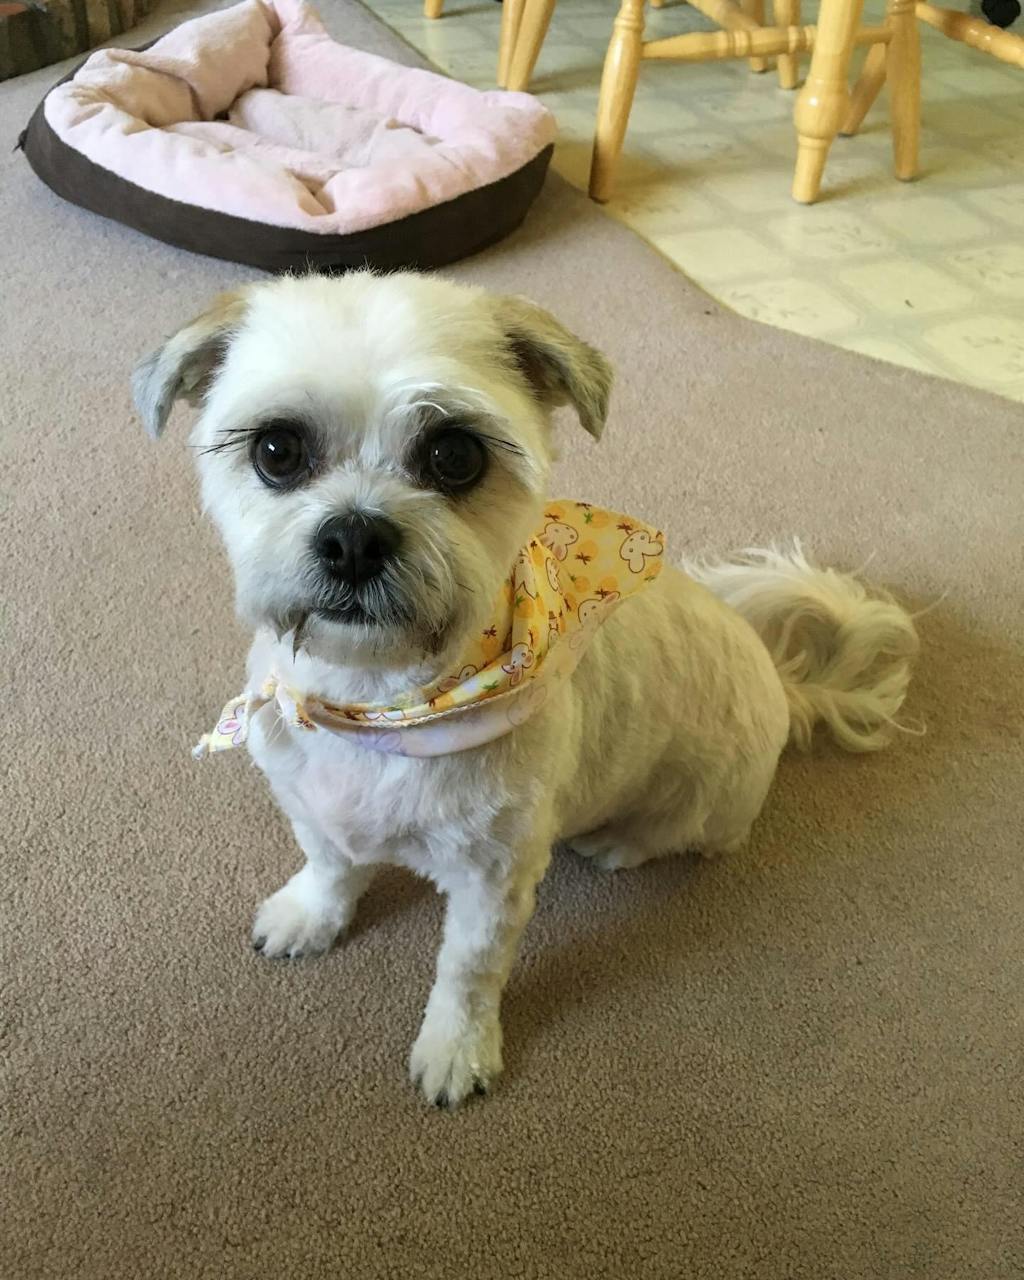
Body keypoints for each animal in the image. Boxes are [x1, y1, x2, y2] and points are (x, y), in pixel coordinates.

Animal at [134, 272, 918, 1108]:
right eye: (277, 450)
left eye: (454, 454)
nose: (354, 538)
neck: (377, 704)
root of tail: (779, 678)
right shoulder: (310, 801)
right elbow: (331, 863)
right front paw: (312, 915)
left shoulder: (492, 876)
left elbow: (467, 970)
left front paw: (455, 1049)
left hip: (703, 803)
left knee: (677, 835)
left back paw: (617, 843)